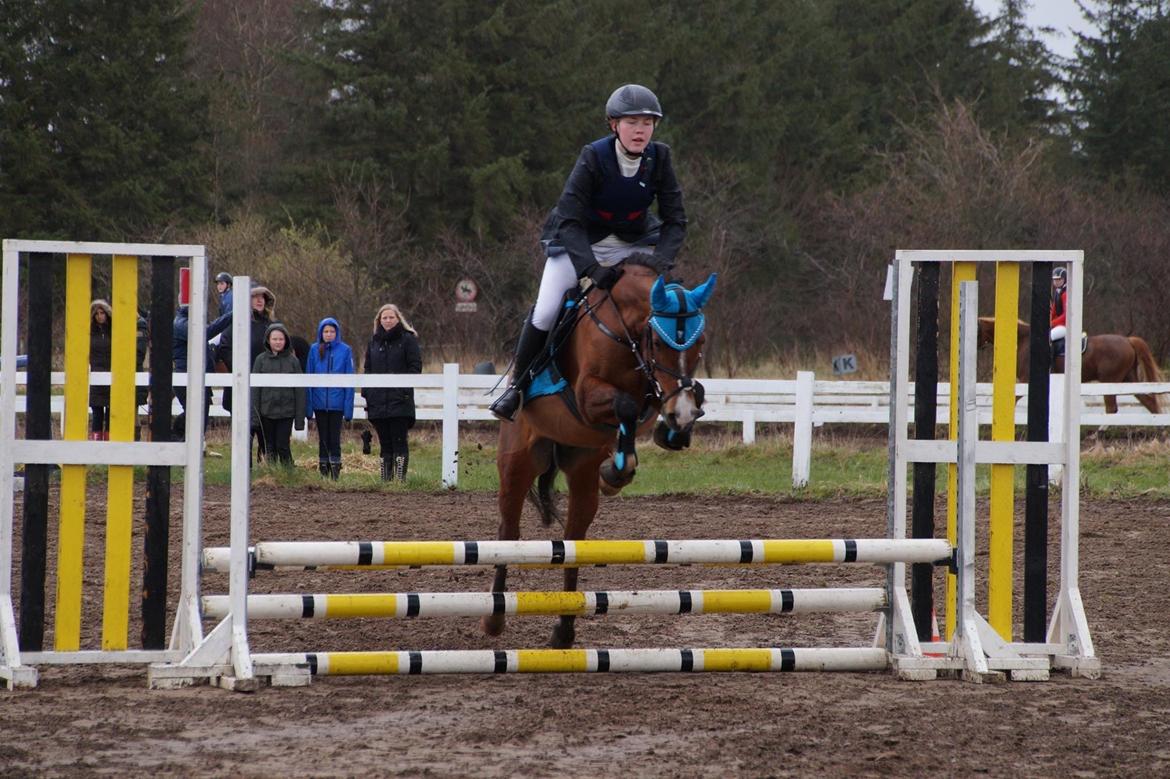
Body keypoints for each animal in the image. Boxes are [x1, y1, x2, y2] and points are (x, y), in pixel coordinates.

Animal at [482, 256, 716, 650]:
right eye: (657, 340)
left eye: (700, 341)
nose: (681, 414)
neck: (624, 331)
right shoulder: (587, 395)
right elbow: (624, 406)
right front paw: (617, 471)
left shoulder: (656, 396)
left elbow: (662, 402)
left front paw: (640, 454)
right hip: (517, 463)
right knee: (507, 532)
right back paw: (495, 618)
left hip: (580, 474)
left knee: (573, 543)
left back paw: (564, 630)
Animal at [973, 315, 1165, 411]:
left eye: (977, 331)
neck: (1024, 339)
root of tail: (1127, 340)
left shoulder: (1026, 380)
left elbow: (1014, 399)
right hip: (1127, 379)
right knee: (1149, 402)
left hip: (1110, 381)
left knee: (1112, 407)